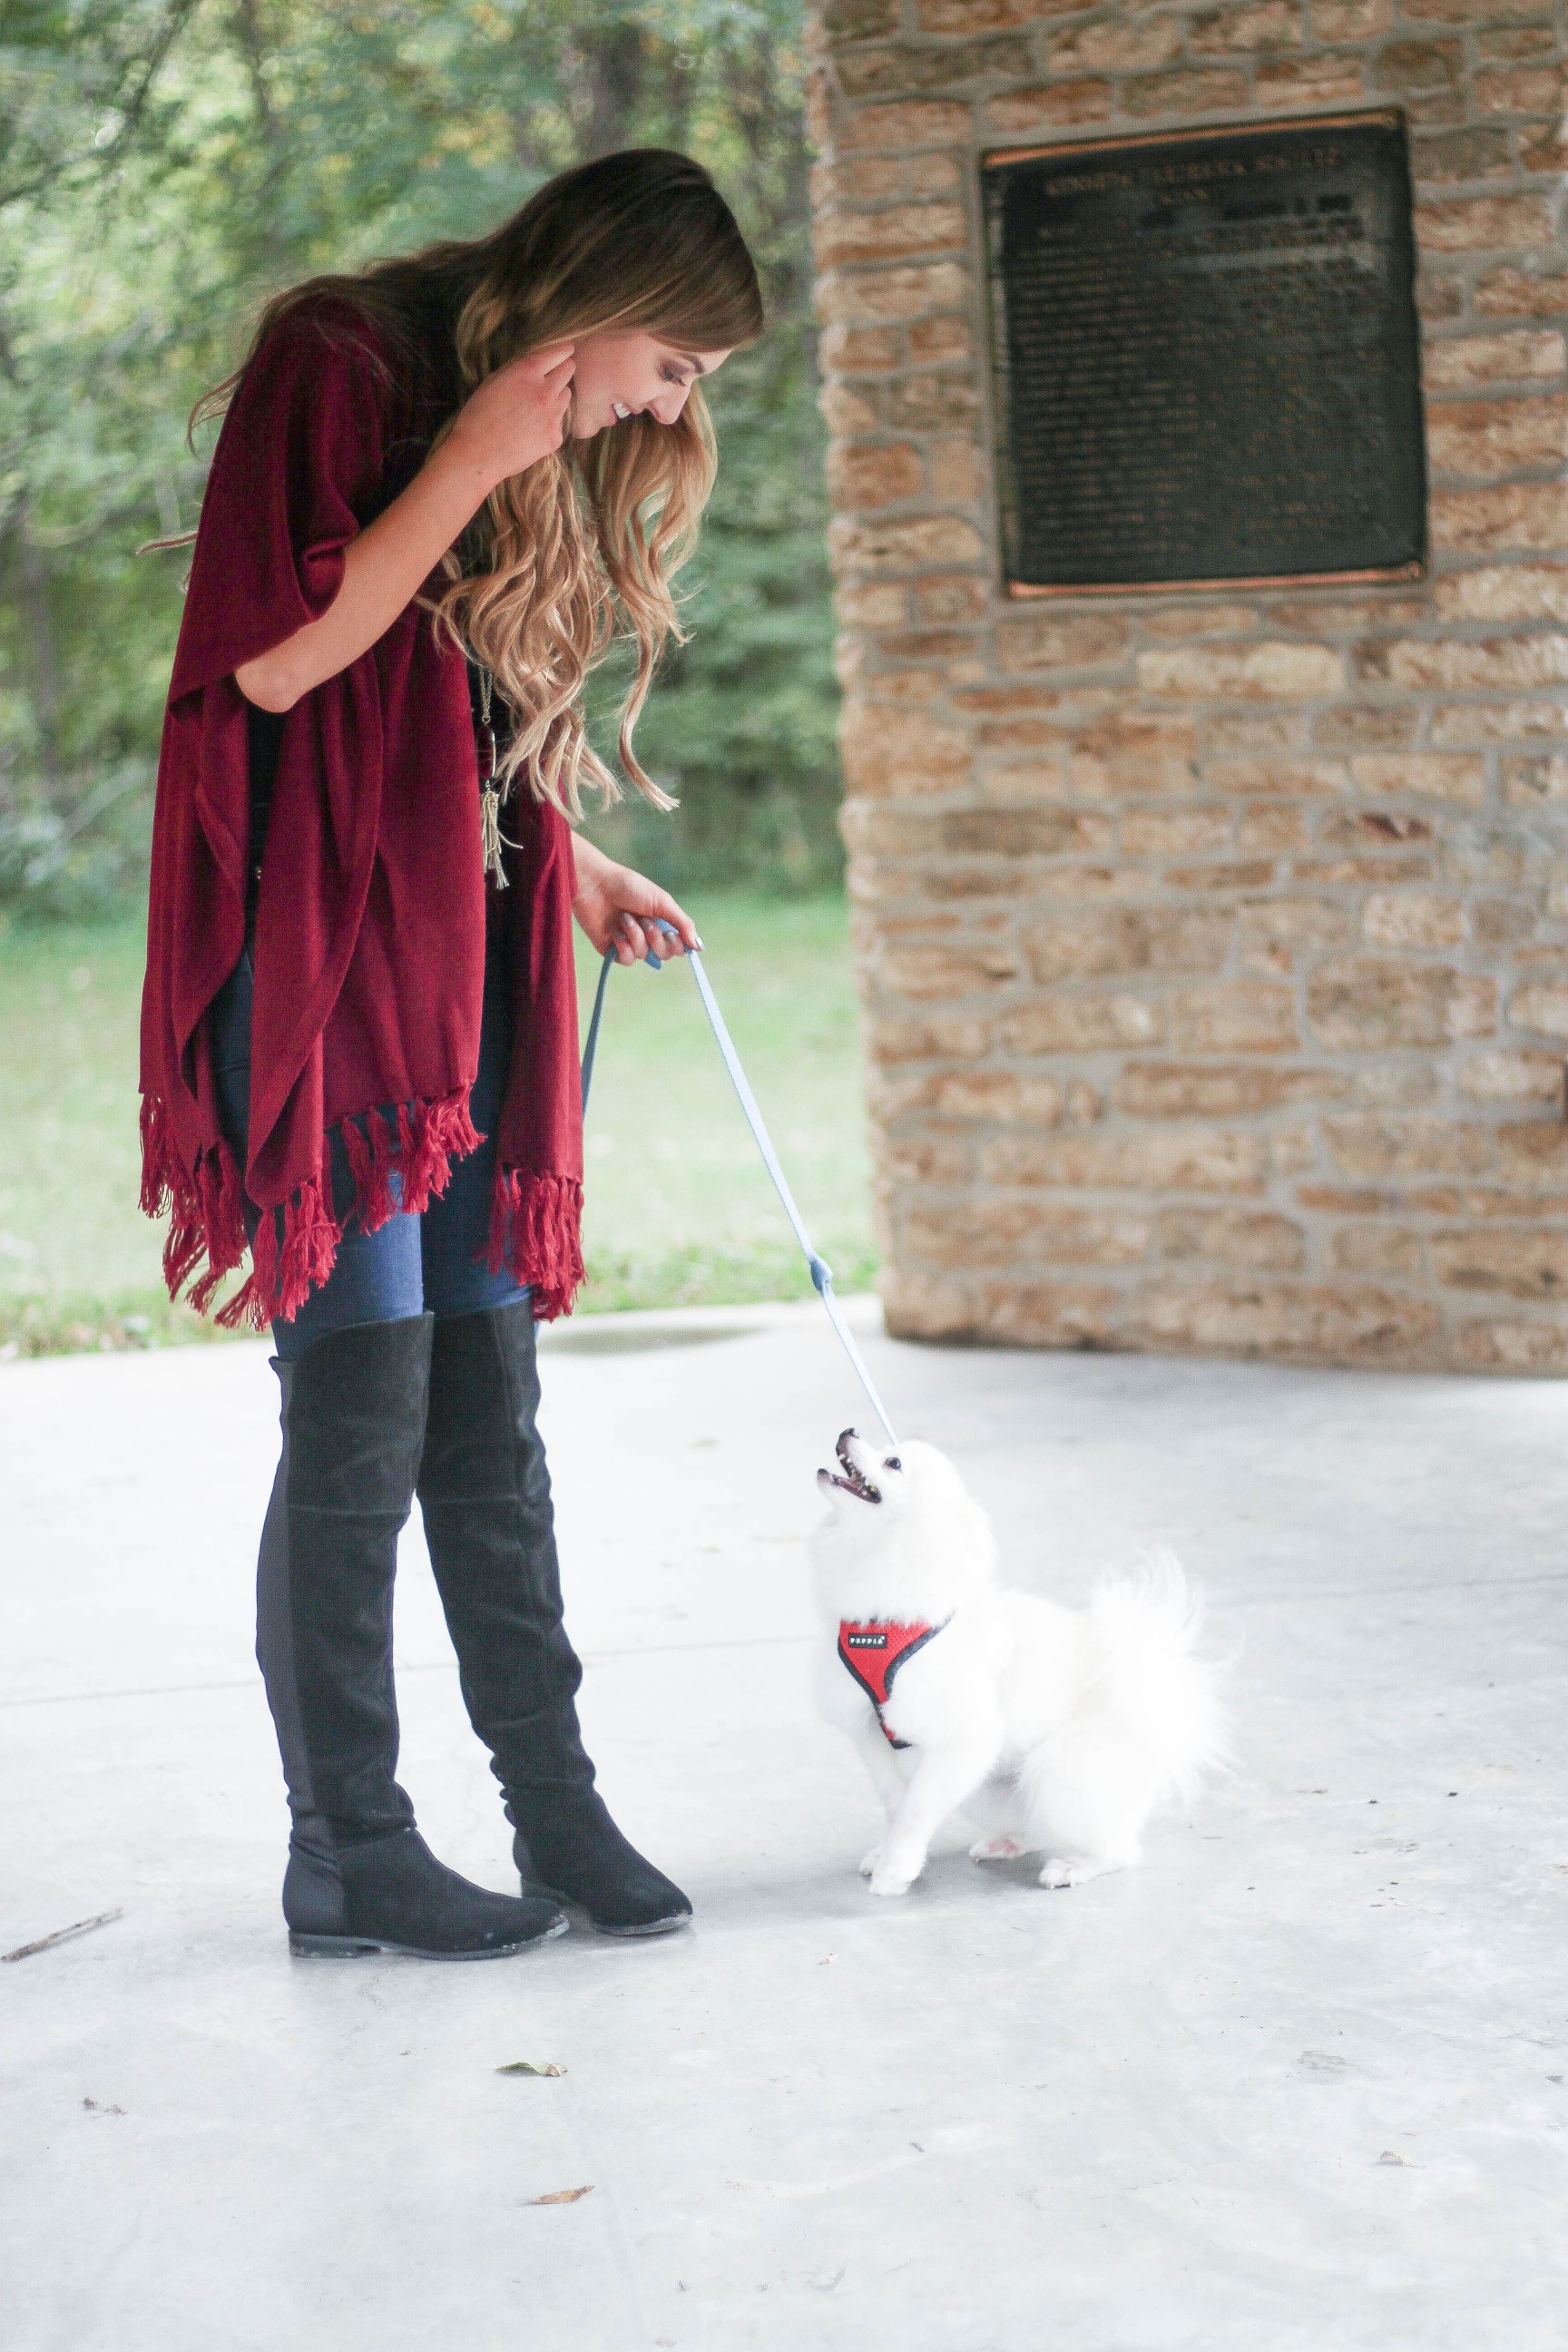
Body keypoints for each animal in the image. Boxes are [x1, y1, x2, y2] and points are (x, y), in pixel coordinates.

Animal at [808, 1420, 1222, 1900]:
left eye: (893, 1462)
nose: (849, 1429)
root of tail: (1151, 1695)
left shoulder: (964, 1739)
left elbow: (916, 1808)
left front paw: (896, 1869)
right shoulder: (869, 1731)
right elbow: (896, 1801)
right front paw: (889, 1854)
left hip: (1056, 1772)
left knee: (1121, 1850)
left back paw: (1074, 1866)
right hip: (985, 1791)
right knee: (1031, 1827)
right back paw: (1006, 1843)